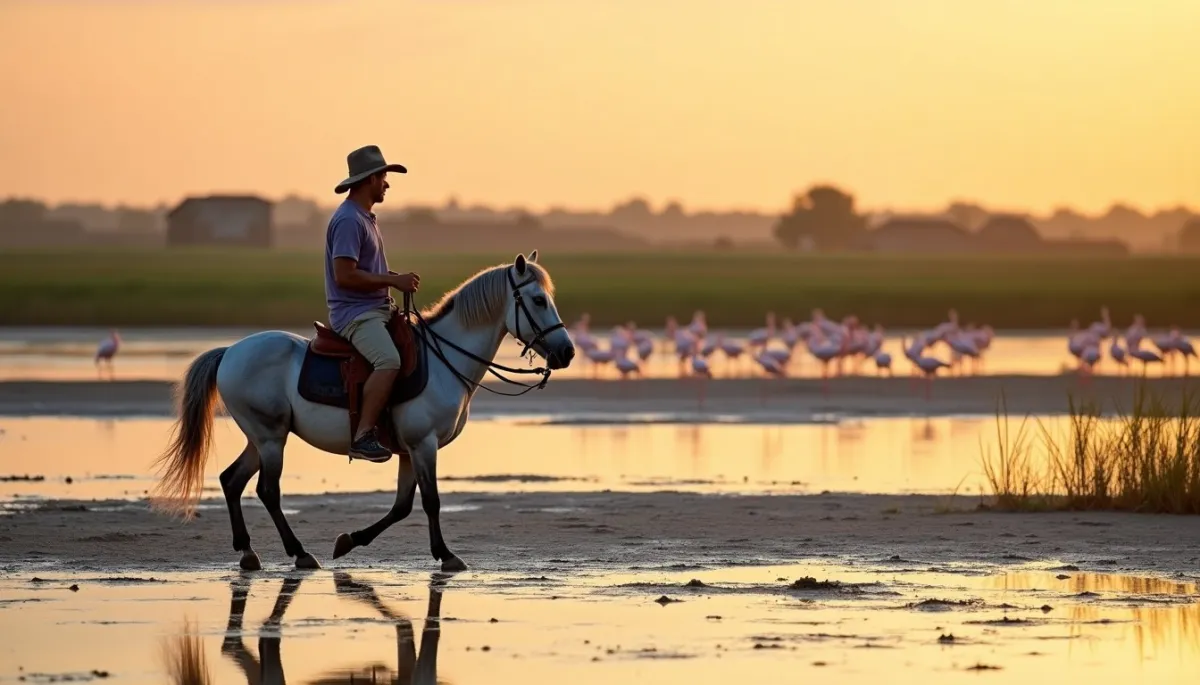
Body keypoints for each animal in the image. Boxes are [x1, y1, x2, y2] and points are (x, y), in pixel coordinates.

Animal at [150, 251, 575, 572]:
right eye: (538, 300)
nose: (567, 352)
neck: (446, 359)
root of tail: (230, 352)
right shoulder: (424, 444)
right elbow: (431, 501)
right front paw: (446, 555)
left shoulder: (409, 451)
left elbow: (402, 506)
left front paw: (349, 541)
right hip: (270, 437)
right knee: (267, 491)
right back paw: (299, 553)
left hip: (263, 436)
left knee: (231, 480)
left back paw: (248, 552)